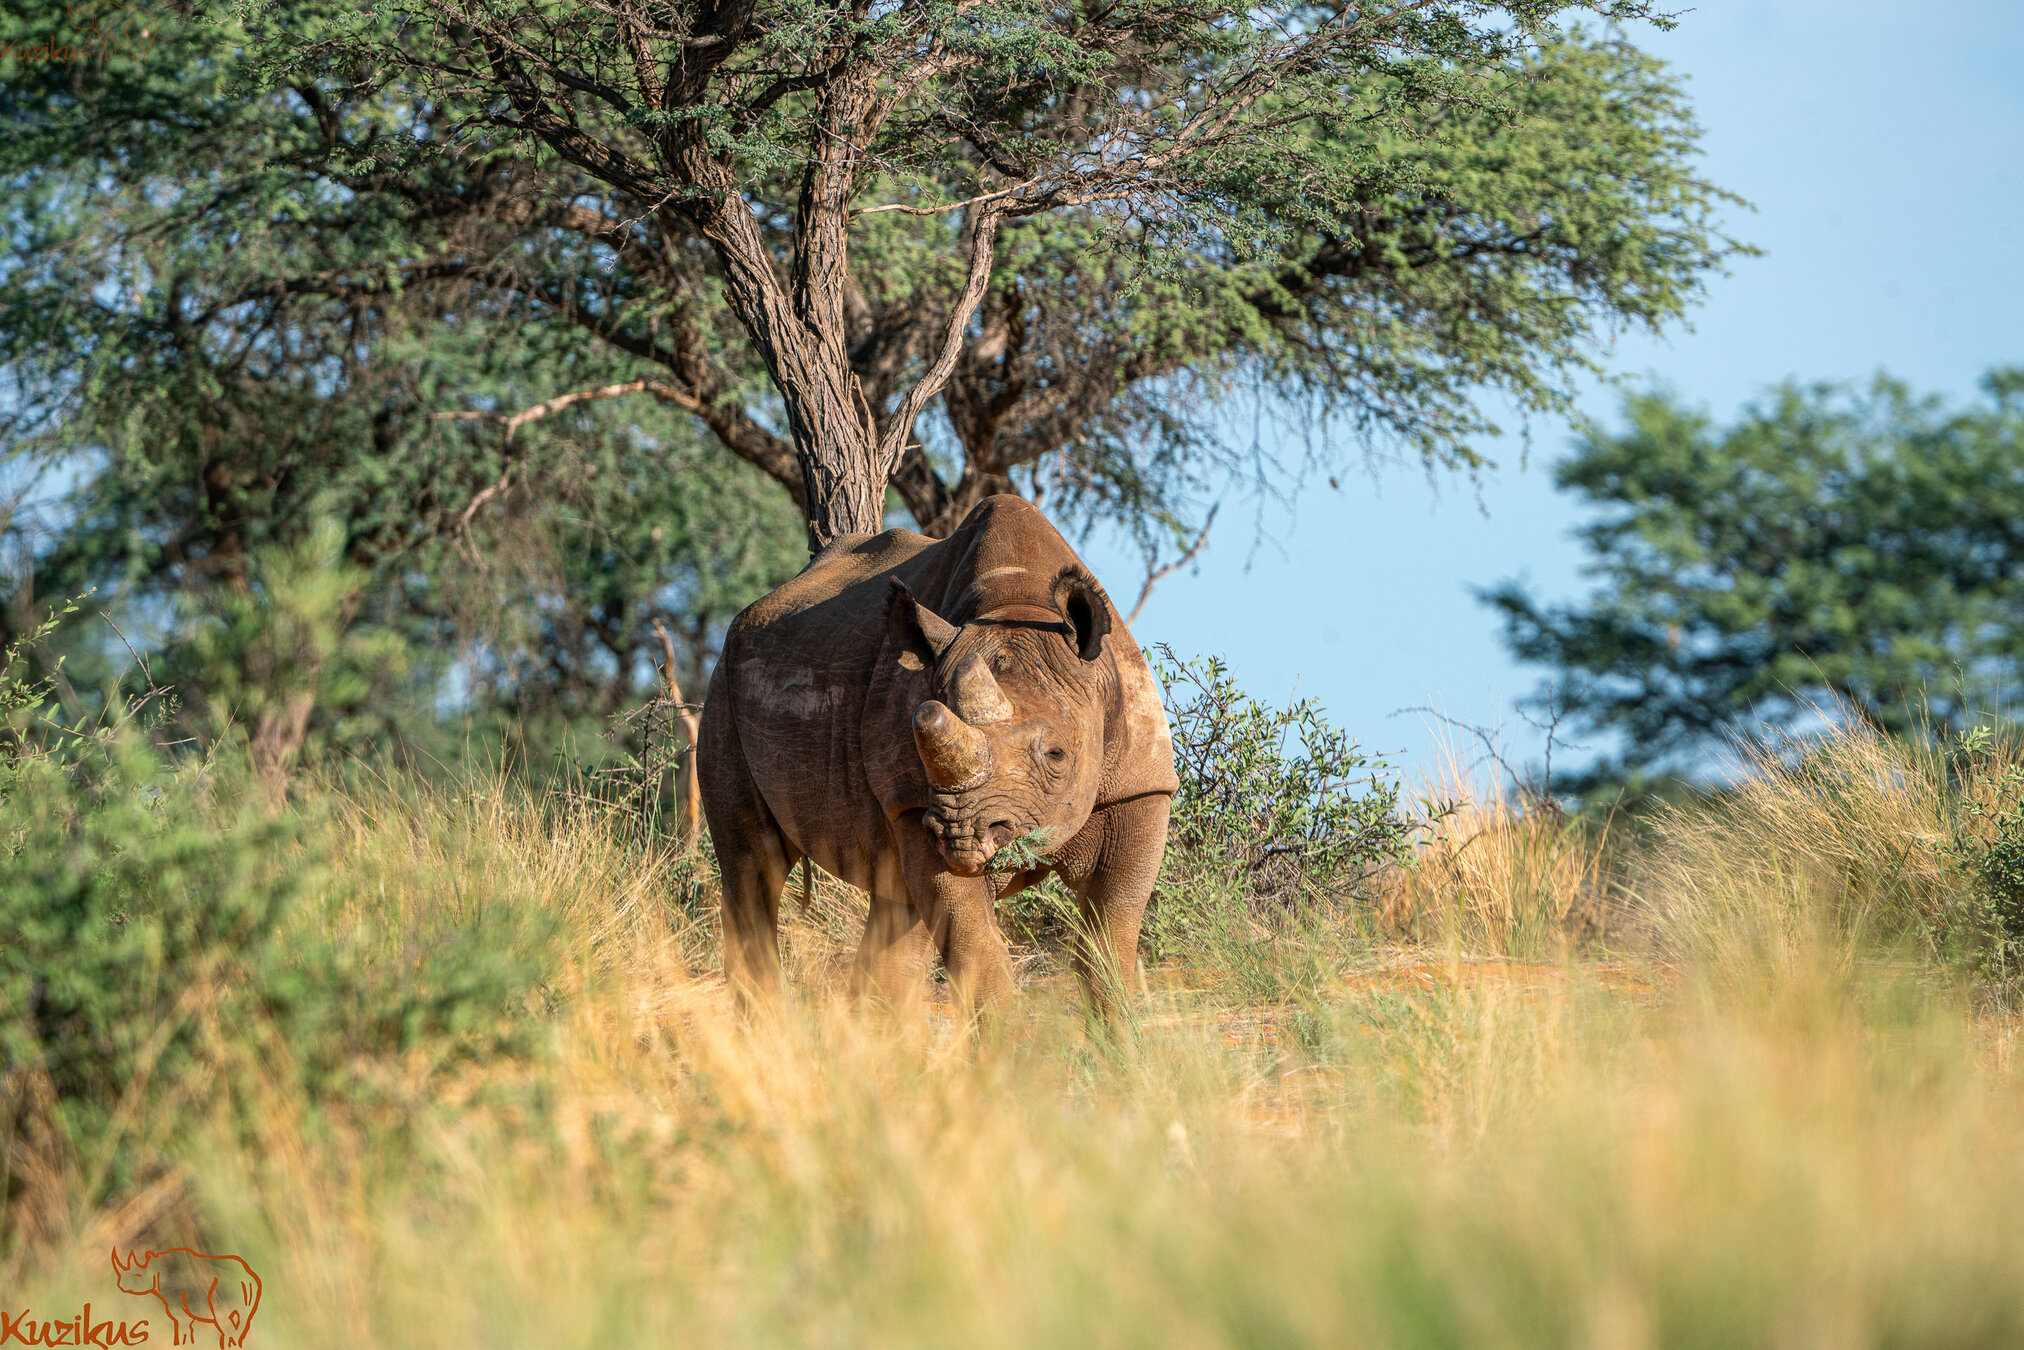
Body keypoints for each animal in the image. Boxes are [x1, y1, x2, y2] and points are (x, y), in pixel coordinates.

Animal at [698, 495, 1177, 1018]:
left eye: (1056, 755)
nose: (961, 836)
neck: (1019, 604)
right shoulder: (914, 803)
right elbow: (977, 950)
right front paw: (1008, 1044)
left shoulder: (1140, 786)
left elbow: (1110, 940)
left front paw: (1123, 1037)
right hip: (724, 684)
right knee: (753, 866)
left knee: (892, 907)